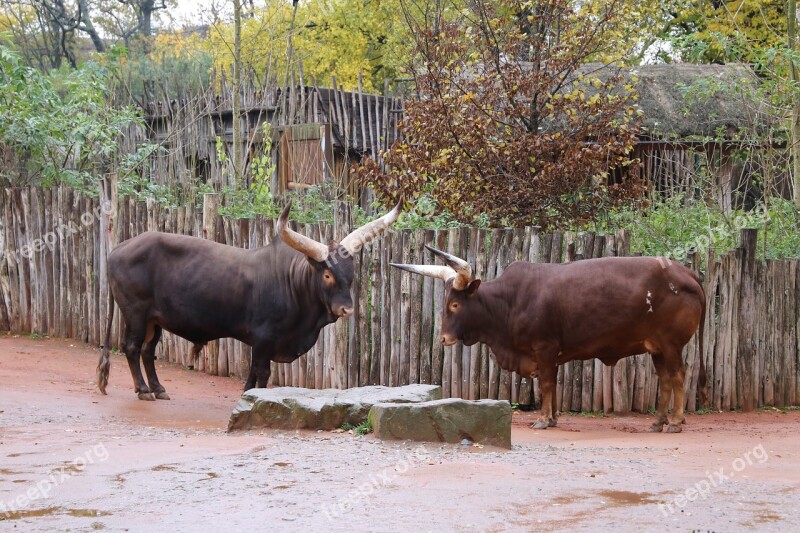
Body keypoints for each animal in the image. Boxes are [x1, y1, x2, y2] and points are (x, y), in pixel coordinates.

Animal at [98, 201, 398, 400]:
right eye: (327, 274)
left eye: (351, 274)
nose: (346, 308)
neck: (294, 284)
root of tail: (117, 250)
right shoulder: (264, 339)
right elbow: (261, 373)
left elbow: (254, 373)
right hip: (135, 314)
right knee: (132, 348)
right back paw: (144, 390)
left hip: (155, 320)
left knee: (148, 351)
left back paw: (159, 389)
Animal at [394, 246, 708, 432]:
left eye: (455, 304)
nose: (444, 338)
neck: (509, 302)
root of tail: (687, 274)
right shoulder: (552, 354)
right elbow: (553, 385)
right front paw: (554, 417)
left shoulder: (544, 349)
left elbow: (545, 384)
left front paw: (544, 419)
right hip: (656, 348)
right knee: (664, 379)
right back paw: (658, 422)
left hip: (671, 345)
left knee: (678, 376)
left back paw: (675, 422)